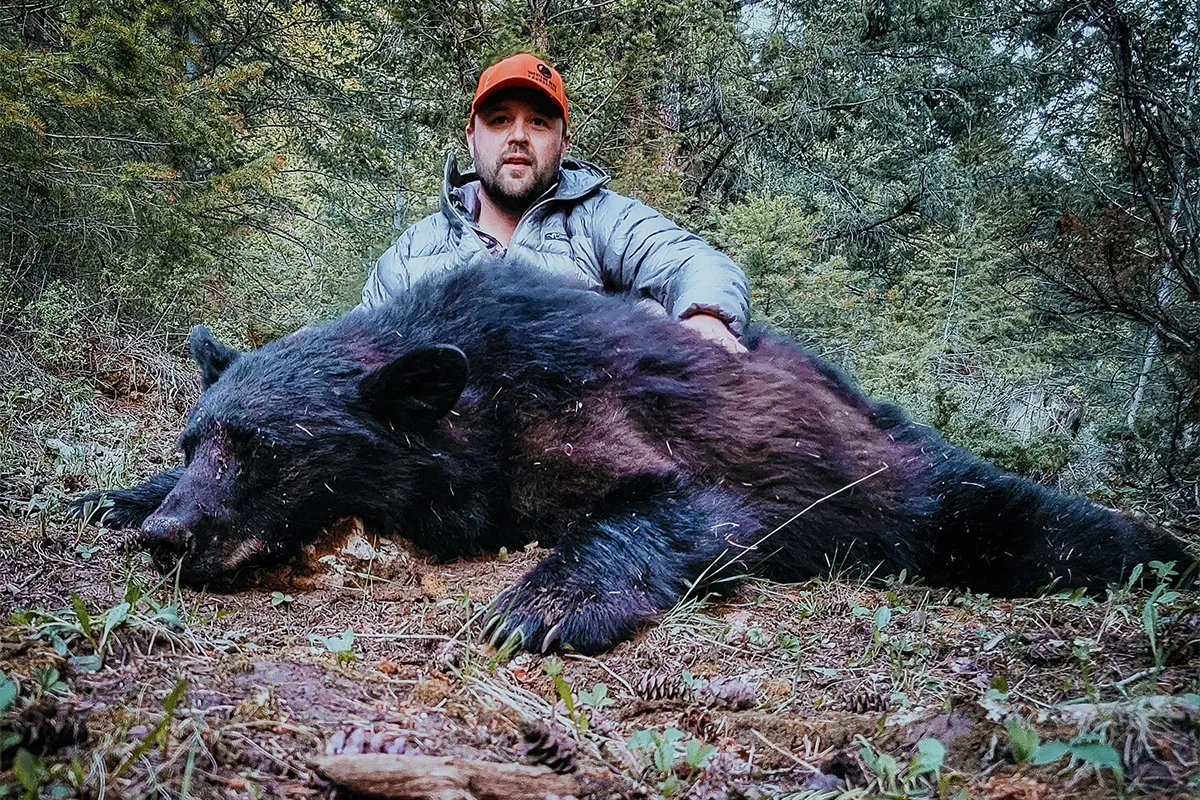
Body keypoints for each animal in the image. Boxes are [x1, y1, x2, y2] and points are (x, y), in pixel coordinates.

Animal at [69, 260, 1194, 654]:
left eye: (263, 449)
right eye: (195, 438)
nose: (173, 535)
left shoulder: (590, 409)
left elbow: (684, 505)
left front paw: (545, 601)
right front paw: (115, 495)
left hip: (920, 488)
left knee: (1030, 522)